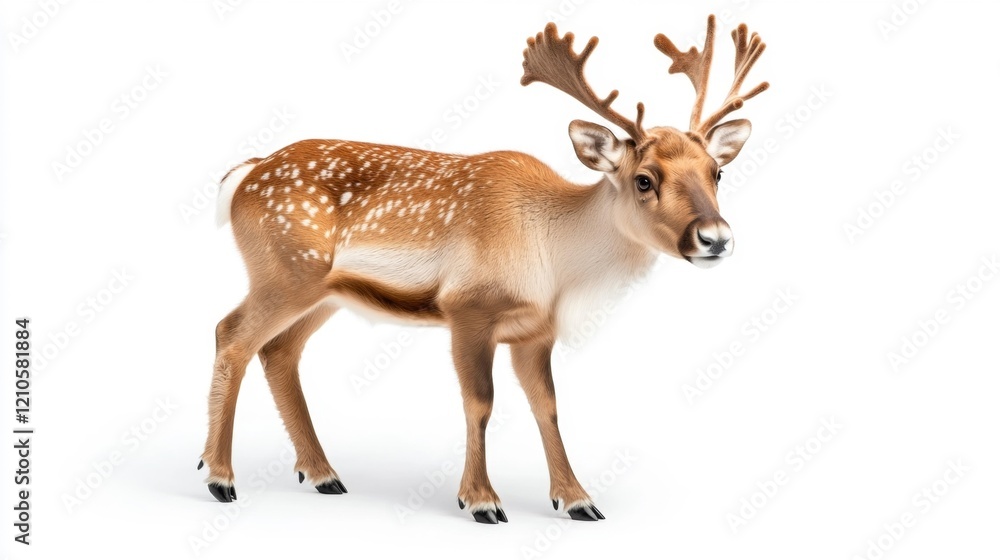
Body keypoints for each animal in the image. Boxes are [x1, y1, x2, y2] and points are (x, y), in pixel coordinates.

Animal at [199, 15, 768, 524]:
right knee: (231, 333)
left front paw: (577, 499)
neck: (554, 266)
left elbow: (547, 405)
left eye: (716, 172)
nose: (716, 237)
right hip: (284, 271)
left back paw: (321, 474)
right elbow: (480, 402)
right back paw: (219, 477)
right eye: (645, 179)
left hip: (326, 293)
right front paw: (481, 501)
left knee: (278, 351)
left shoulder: (535, 331)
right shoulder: (467, 308)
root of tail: (243, 175)